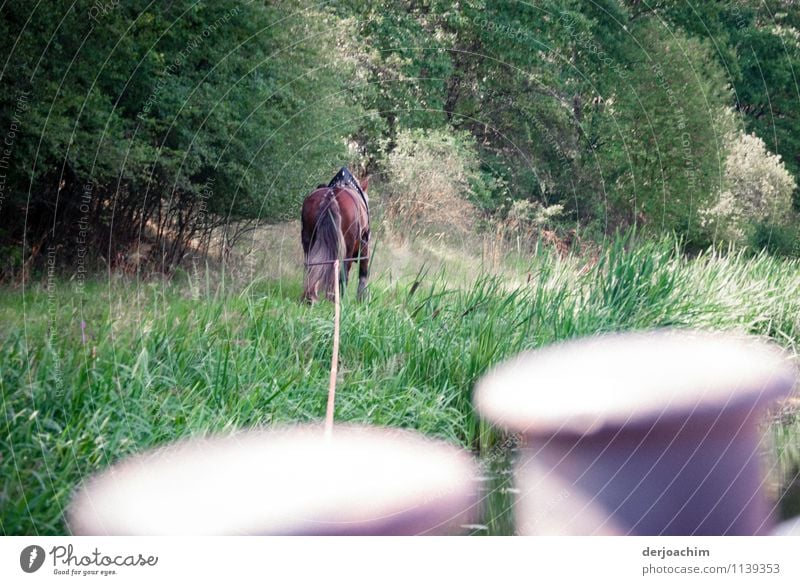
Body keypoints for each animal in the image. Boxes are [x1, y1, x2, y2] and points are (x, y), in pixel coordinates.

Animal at [302, 172, 370, 302]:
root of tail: (331, 194)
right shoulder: (364, 245)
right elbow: (363, 273)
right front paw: (361, 298)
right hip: (348, 247)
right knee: (343, 273)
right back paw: (338, 298)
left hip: (308, 238)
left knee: (311, 267)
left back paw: (310, 297)